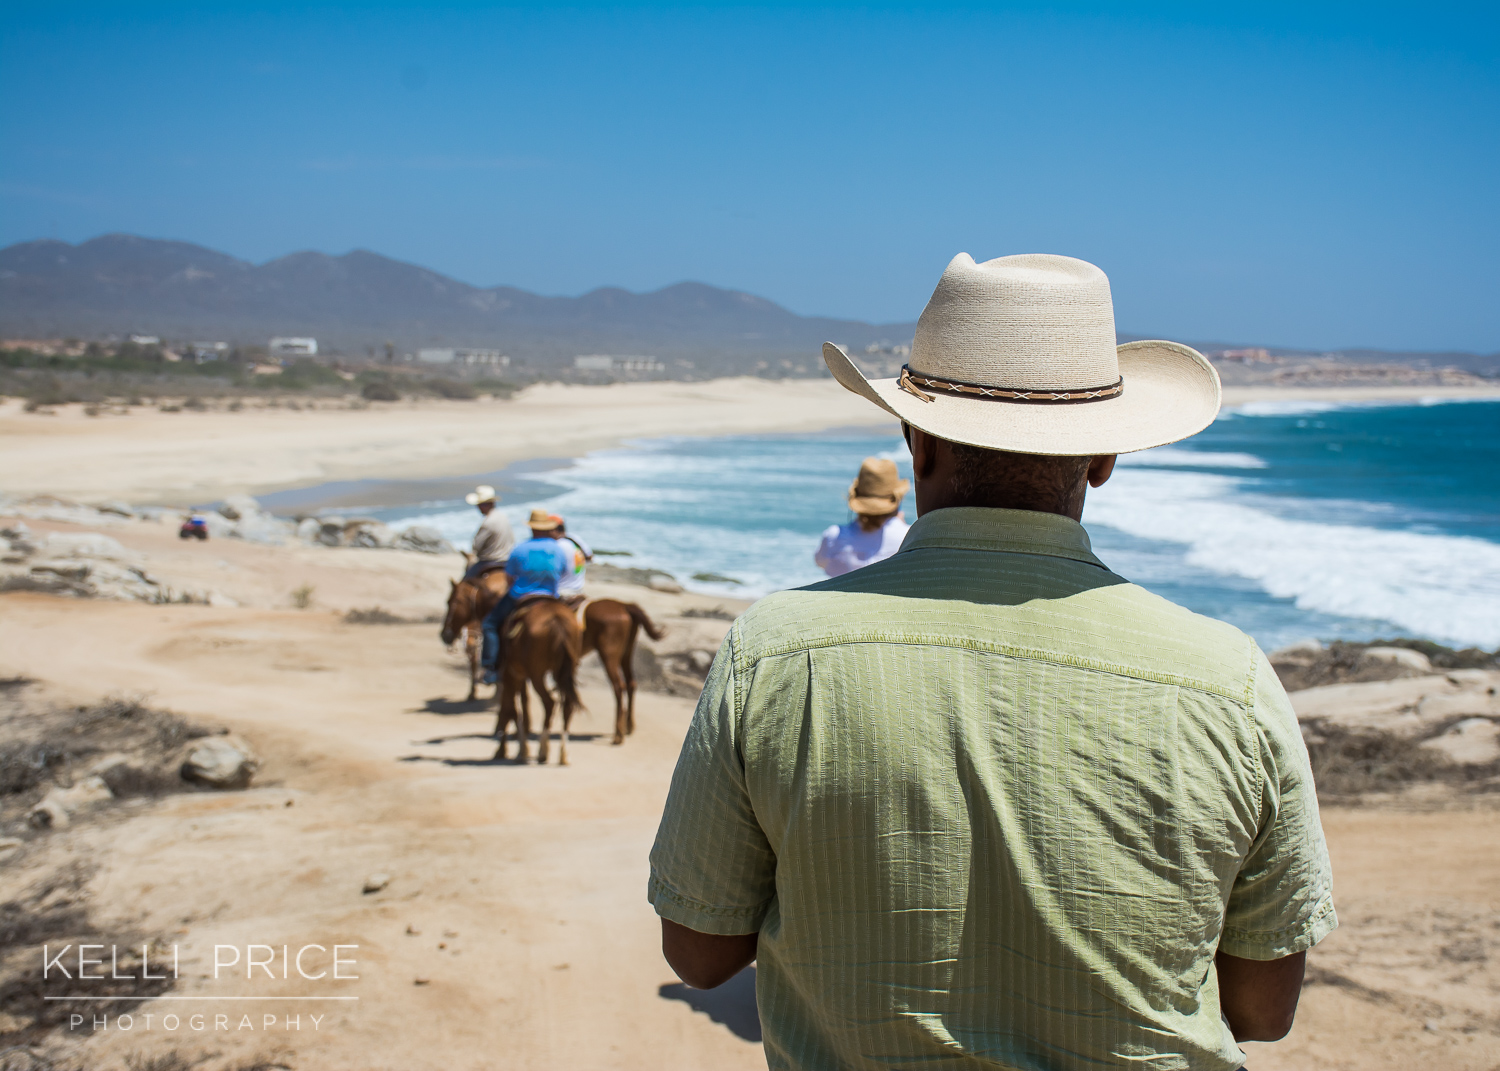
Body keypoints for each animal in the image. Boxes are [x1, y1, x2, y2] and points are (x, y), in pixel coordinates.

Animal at [495, 600, 582, 759]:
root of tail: (557, 621)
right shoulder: (518, 676)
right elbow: (521, 706)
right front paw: (520, 749)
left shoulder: (510, 674)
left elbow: (509, 708)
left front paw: (505, 750)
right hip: (566, 671)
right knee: (567, 705)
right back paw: (563, 754)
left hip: (537, 674)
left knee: (549, 703)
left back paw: (543, 750)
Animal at [579, 600, 663, 744]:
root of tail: (625, 605)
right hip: (626, 653)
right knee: (631, 683)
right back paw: (628, 726)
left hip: (609, 654)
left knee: (619, 686)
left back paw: (619, 734)